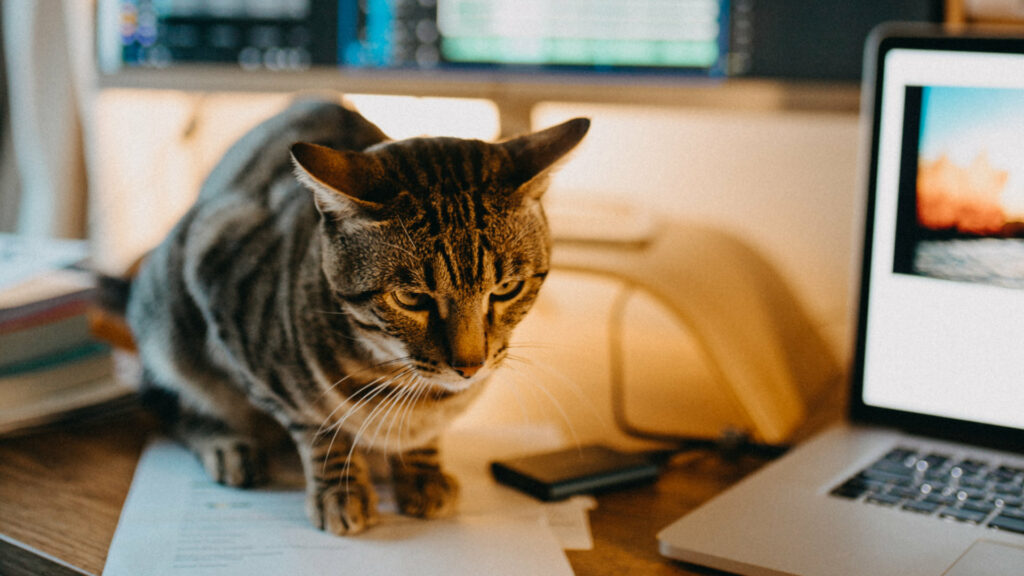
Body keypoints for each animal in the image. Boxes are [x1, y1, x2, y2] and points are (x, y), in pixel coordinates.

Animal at [123, 99, 589, 532]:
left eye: (507, 289)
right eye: (411, 298)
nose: (469, 367)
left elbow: (423, 436)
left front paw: (421, 473)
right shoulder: (223, 293)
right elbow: (319, 427)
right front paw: (340, 489)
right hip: (170, 327)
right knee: (168, 401)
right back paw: (227, 445)